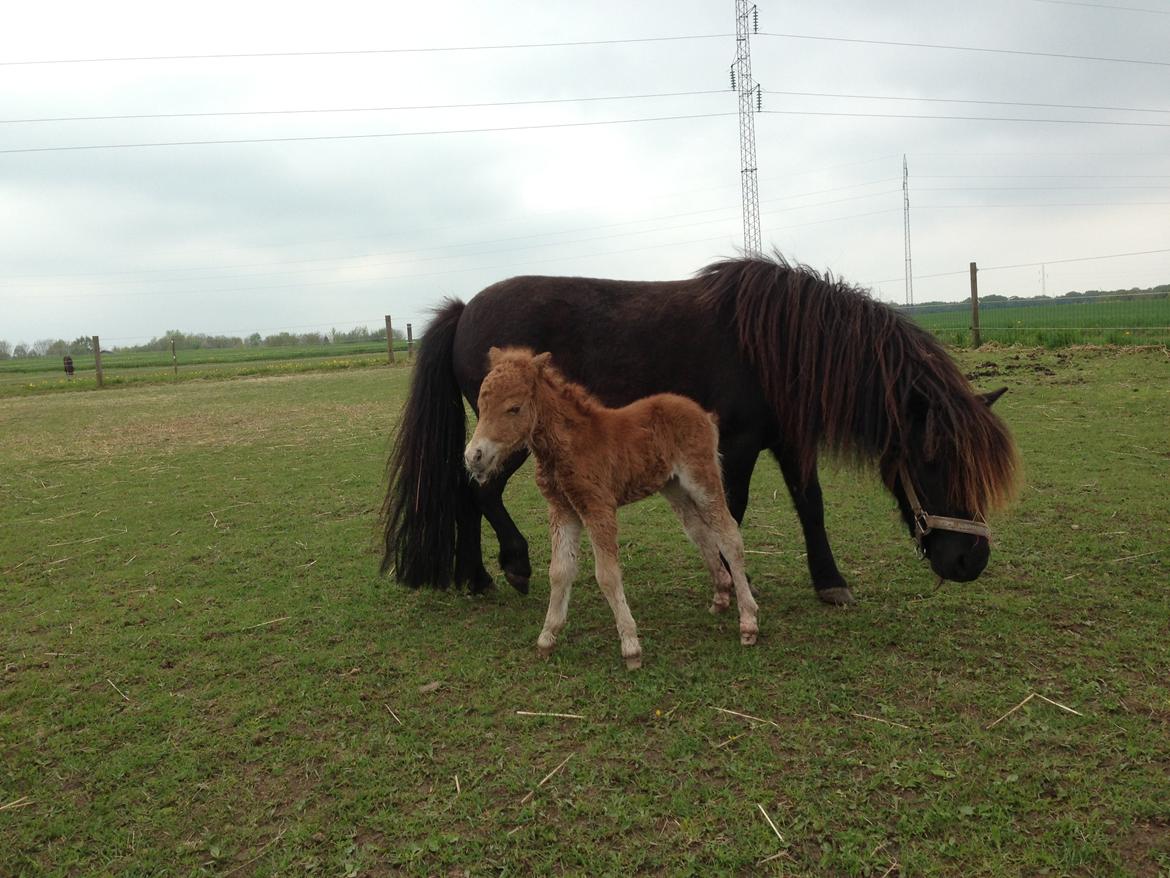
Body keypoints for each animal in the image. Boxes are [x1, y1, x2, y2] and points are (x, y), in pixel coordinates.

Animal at [381, 250, 1015, 604]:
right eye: (933, 462)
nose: (971, 563)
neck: (776, 345)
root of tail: (465, 310)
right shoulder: (735, 445)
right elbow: (730, 512)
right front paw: (733, 581)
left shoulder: (791, 440)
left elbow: (810, 505)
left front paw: (829, 581)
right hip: (509, 436)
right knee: (480, 492)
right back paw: (511, 565)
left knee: (465, 492)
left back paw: (475, 579)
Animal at [465, 346, 758, 669]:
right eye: (481, 404)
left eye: (514, 408)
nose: (473, 456)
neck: (569, 445)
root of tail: (702, 413)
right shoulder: (563, 510)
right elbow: (560, 571)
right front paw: (547, 638)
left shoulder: (598, 508)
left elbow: (607, 574)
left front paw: (631, 647)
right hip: (675, 487)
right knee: (701, 533)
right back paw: (720, 597)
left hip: (702, 478)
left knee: (728, 534)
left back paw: (748, 623)